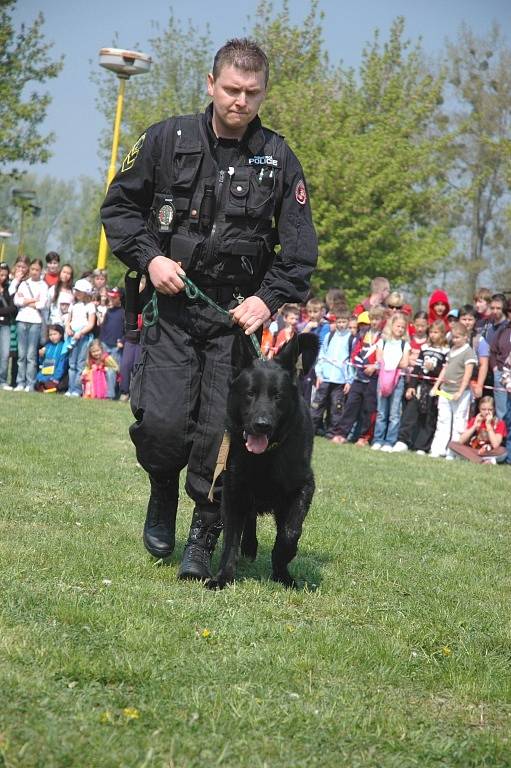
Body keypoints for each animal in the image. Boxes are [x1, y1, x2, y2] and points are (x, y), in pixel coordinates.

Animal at [208, 332, 320, 592]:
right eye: (250, 393)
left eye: (277, 396)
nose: (262, 425)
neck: (265, 456)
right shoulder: (233, 492)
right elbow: (230, 540)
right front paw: (224, 577)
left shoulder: (304, 487)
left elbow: (290, 533)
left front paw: (283, 571)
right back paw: (250, 546)